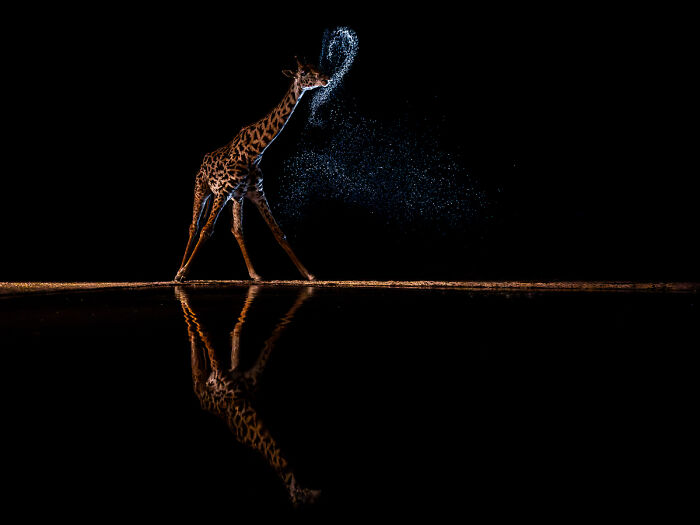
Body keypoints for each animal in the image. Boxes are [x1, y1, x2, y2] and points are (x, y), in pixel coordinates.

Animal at [174, 58, 329, 282]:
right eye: (304, 72)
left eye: (316, 67)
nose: (327, 78)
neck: (255, 152)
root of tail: (203, 161)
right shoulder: (224, 190)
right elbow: (206, 229)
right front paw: (184, 273)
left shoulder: (256, 192)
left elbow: (278, 232)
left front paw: (308, 274)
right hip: (202, 189)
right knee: (194, 226)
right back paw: (179, 270)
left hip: (235, 198)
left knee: (237, 229)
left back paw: (254, 274)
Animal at [175, 285, 320, 507]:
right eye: (304, 498)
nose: (317, 493)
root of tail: (201, 400)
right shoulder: (222, 374)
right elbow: (208, 334)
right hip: (206, 379)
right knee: (198, 354)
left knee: (200, 355)